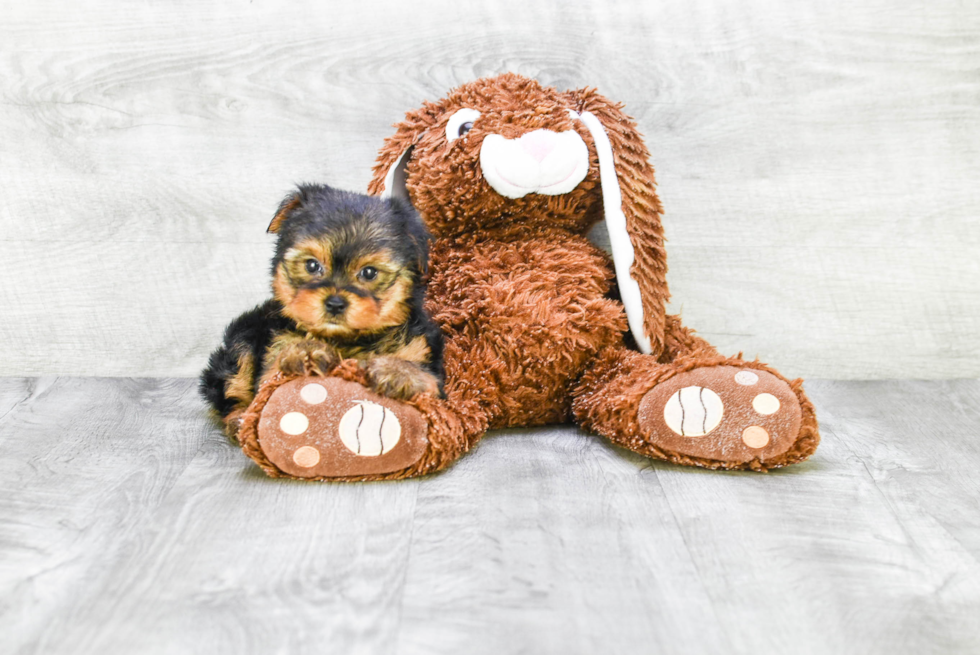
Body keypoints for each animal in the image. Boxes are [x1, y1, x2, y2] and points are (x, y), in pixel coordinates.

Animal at [200, 183, 444, 436]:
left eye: (369, 272)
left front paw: (399, 371)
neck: (348, 339)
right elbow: (270, 377)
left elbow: (428, 379)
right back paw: (238, 419)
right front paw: (306, 351)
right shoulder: (274, 353)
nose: (335, 303)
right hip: (242, 338)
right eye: (311, 265)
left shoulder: (423, 353)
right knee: (233, 381)